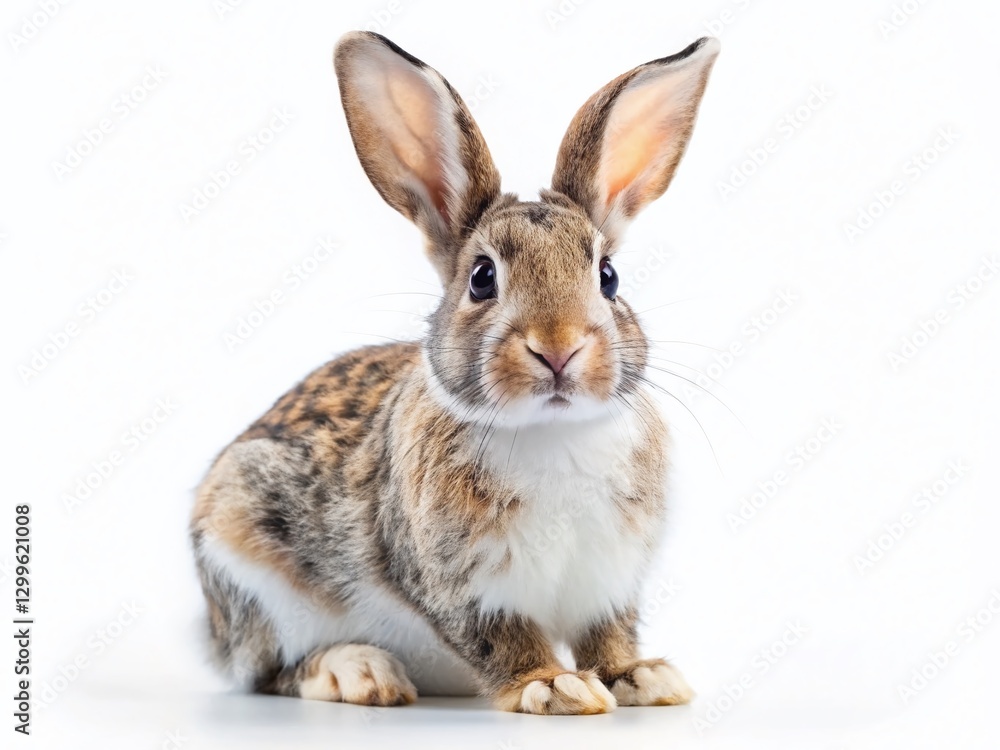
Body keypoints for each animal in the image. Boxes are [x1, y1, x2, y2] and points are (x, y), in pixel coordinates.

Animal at [190, 31, 720, 715]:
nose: (559, 349)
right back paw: (357, 672)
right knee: (270, 670)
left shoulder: (610, 580)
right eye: (482, 278)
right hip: (247, 567)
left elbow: (609, 635)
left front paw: (641, 679)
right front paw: (554, 687)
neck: (552, 432)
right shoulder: (460, 584)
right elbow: (502, 636)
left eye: (608, 276)